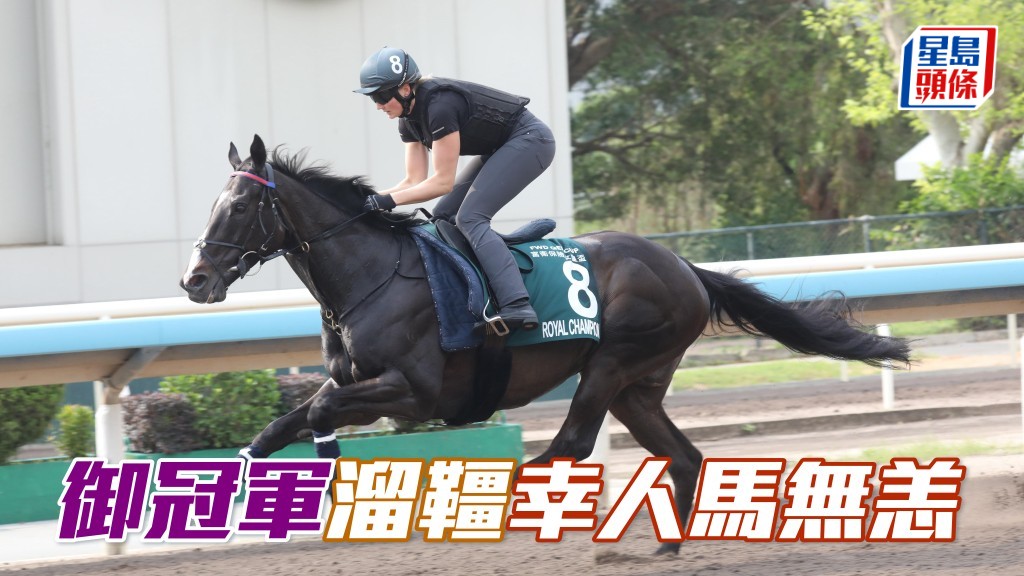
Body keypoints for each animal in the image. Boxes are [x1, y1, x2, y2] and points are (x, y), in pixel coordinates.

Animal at [180, 135, 911, 555]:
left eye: (239, 208)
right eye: (213, 205)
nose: (195, 280)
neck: (370, 273)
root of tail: (684, 267)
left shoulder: (414, 393)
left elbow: (322, 417)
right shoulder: (354, 383)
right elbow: (280, 426)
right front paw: (224, 496)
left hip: (613, 362)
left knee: (572, 444)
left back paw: (499, 506)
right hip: (639, 386)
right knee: (683, 456)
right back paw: (663, 550)